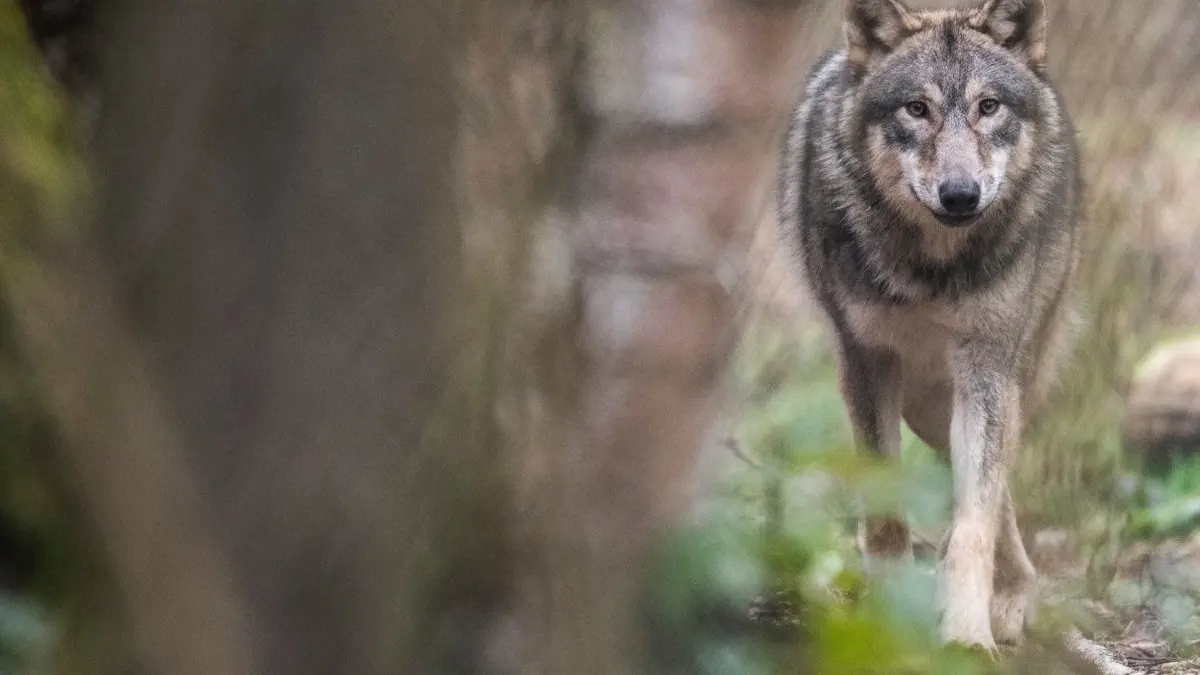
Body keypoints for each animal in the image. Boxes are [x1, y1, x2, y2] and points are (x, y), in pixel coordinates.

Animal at [779, 0, 1080, 651]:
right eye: (916, 109)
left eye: (988, 106)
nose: (960, 194)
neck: (931, 269)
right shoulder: (864, 363)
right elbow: (885, 513)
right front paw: (890, 622)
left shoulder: (985, 368)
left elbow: (974, 520)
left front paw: (966, 637)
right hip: (926, 406)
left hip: (995, 385)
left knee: (992, 495)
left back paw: (1008, 598)